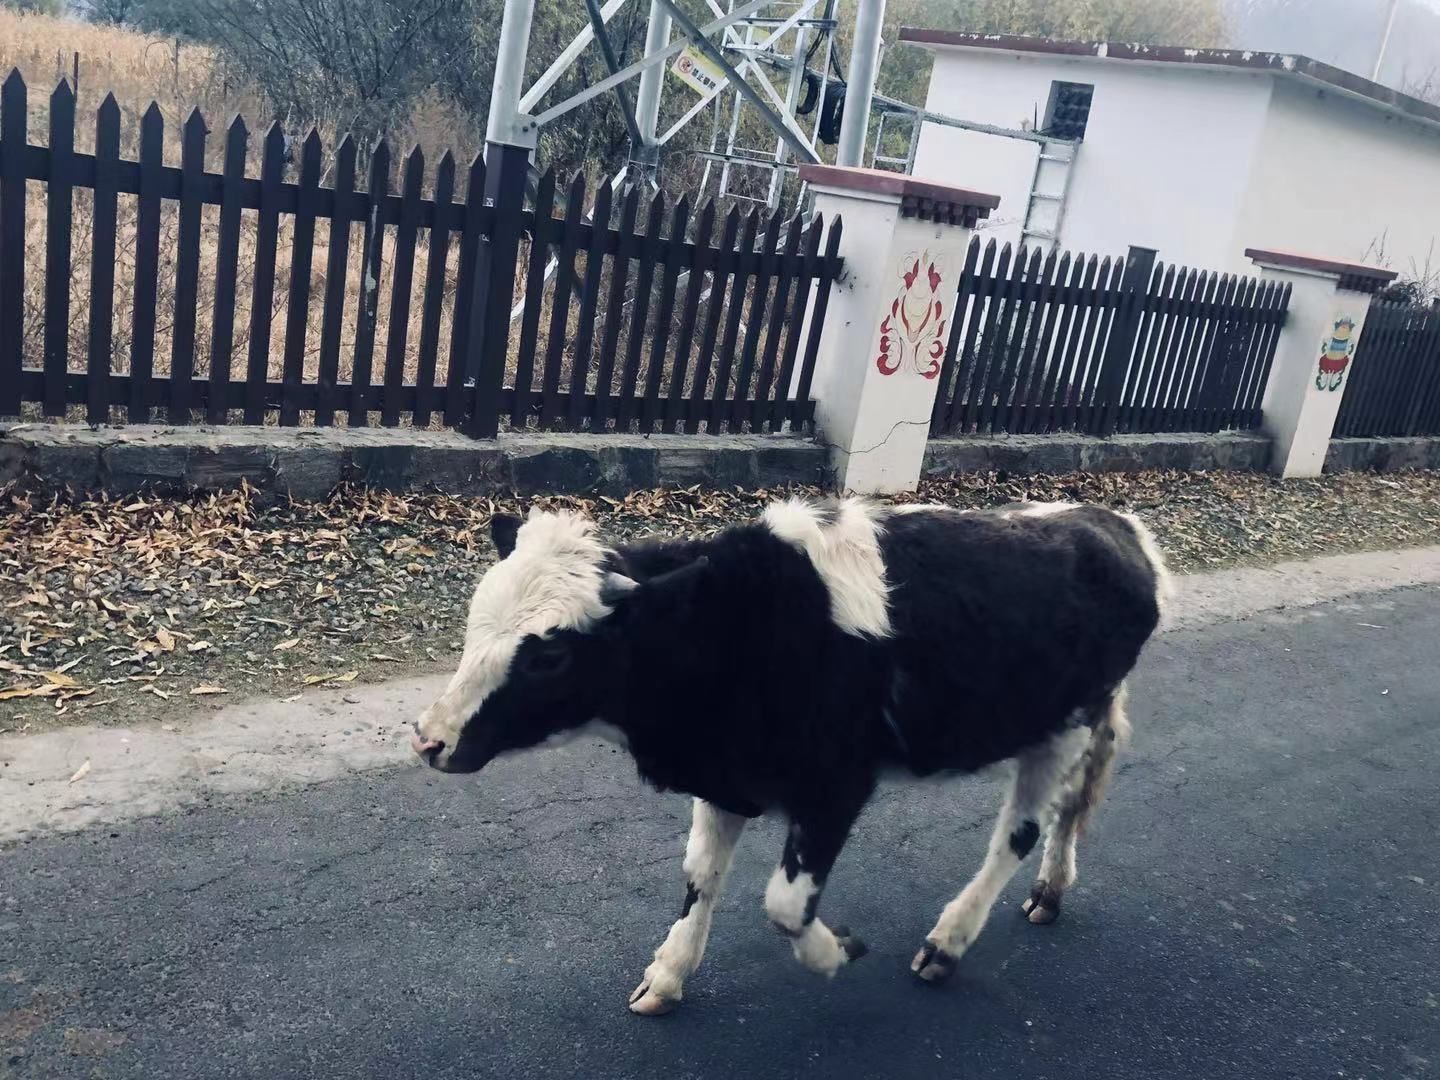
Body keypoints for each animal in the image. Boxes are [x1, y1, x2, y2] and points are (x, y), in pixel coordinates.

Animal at [414, 498, 1169, 1013]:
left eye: (550, 656)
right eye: (475, 617)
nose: (428, 738)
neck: (738, 626)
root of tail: (1109, 523)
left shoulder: (836, 788)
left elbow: (783, 903)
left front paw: (837, 953)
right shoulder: (725, 776)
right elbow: (701, 875)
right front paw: (668, 973)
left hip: (1065, 726)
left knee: (1019, 831)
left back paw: (948, 941)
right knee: (1074, 803)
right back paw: (1052, 890)